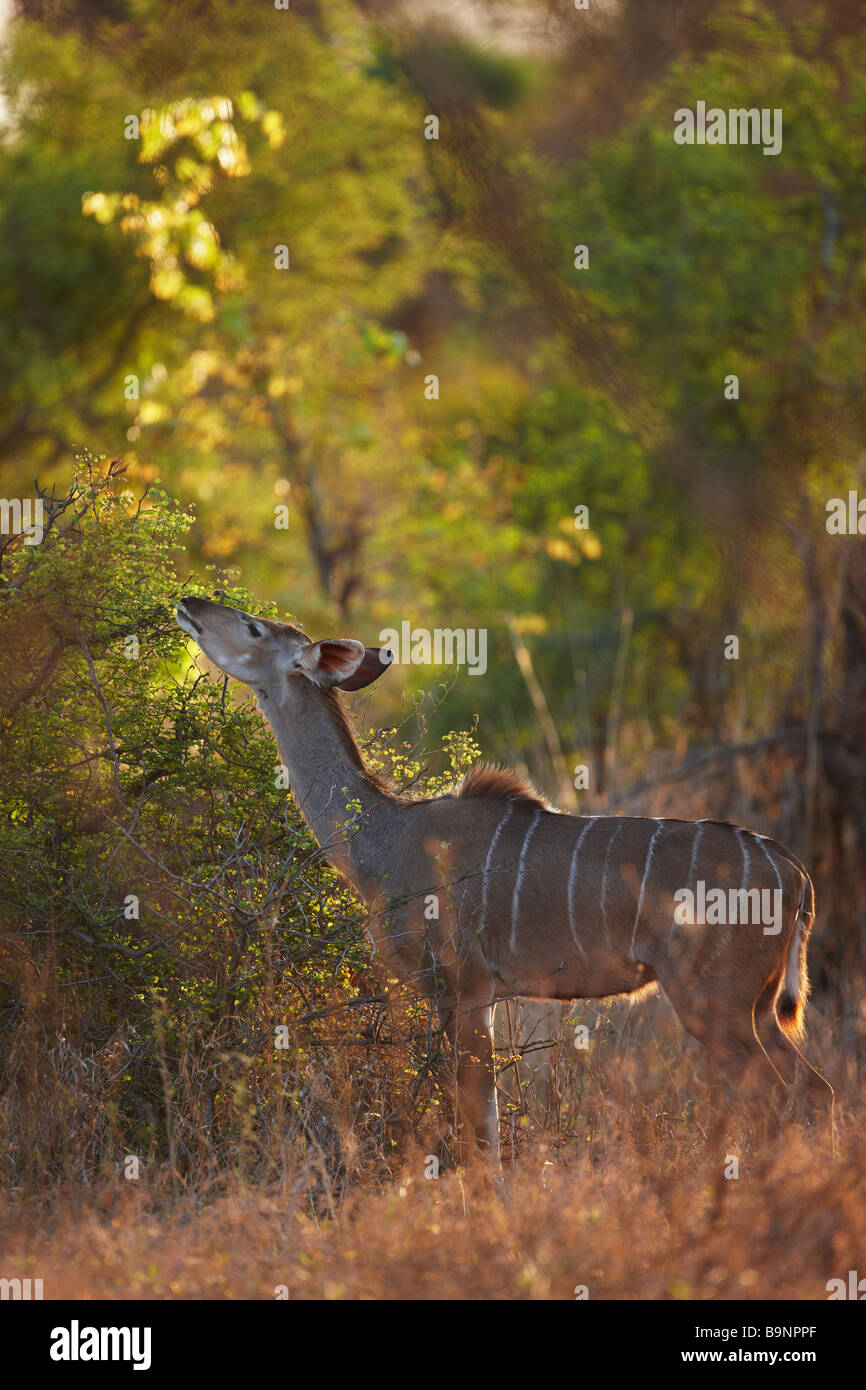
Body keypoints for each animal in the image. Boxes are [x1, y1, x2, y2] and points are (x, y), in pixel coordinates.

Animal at [176, 597, 834, 1162]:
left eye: (253, 627)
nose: (191, 603)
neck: (384, 837)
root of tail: (796, 873)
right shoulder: (484, 997)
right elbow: (485, 1121)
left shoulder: (462, 988)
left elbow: (478, 1130)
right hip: (758, 1009)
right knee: (816, 1091)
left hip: (714, 1002)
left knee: (779, 1099)